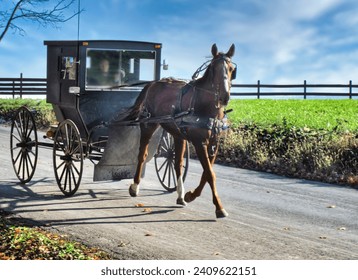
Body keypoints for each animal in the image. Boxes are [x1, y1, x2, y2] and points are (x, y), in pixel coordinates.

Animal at [116, 44, 236, 219]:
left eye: (232, 69)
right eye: (213, 68)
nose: (224, 97)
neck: (206, 106)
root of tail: (152, 84)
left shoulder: (214, 143)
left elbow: (207, 173)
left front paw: (190, 195)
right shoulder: (199, 143)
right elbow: (210, 174)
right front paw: (219, 208)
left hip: (178, 134)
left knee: (177, 163)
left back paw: (180, 195)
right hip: (148, 125)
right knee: (142, 155)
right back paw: (135, 186)